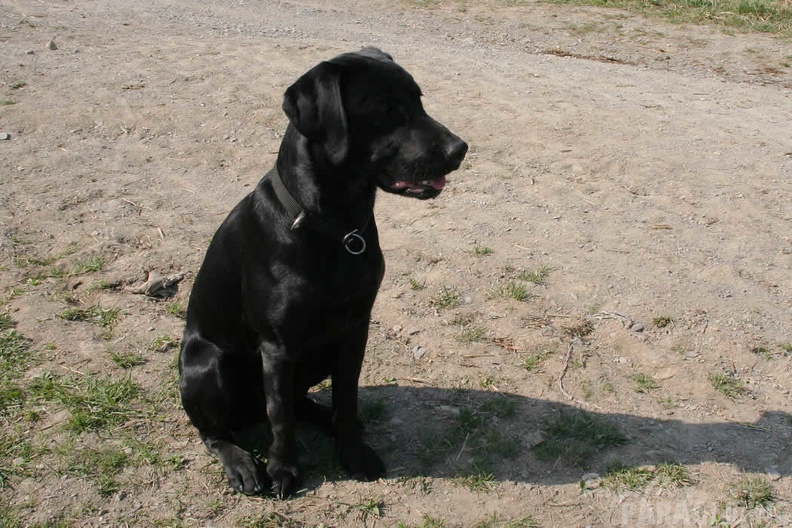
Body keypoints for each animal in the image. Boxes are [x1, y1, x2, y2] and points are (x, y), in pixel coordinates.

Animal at [179, 46, 468, 500]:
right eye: (387, 109)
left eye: (420, 101)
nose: (461, 149)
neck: (336, 228)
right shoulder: (278, 346)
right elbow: (280, 418)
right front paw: (283, 469)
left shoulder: (354, 328)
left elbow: (346, 398)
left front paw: (352, 451)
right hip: (207, 364)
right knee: (218, 431)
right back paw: (242, 463)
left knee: (297, 403)